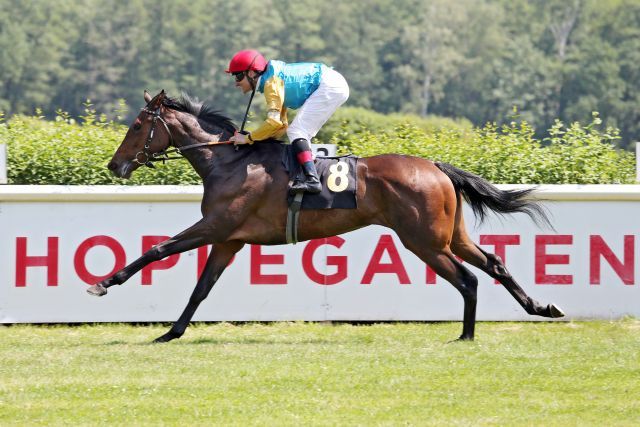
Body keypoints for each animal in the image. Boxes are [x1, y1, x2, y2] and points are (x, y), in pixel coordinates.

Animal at [90, 91, 564, 344]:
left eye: (137, 126)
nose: (115, 165)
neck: (228, 161)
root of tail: (434, 165)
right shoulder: (229, 239)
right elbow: (201, 287)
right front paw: (171, 332)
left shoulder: (216, 227)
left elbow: (158, 249)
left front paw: (104, 283)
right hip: (451, 235)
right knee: (495, 263)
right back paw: (542, 307)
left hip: (424, 241)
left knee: (468, 279)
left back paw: (466, 335)